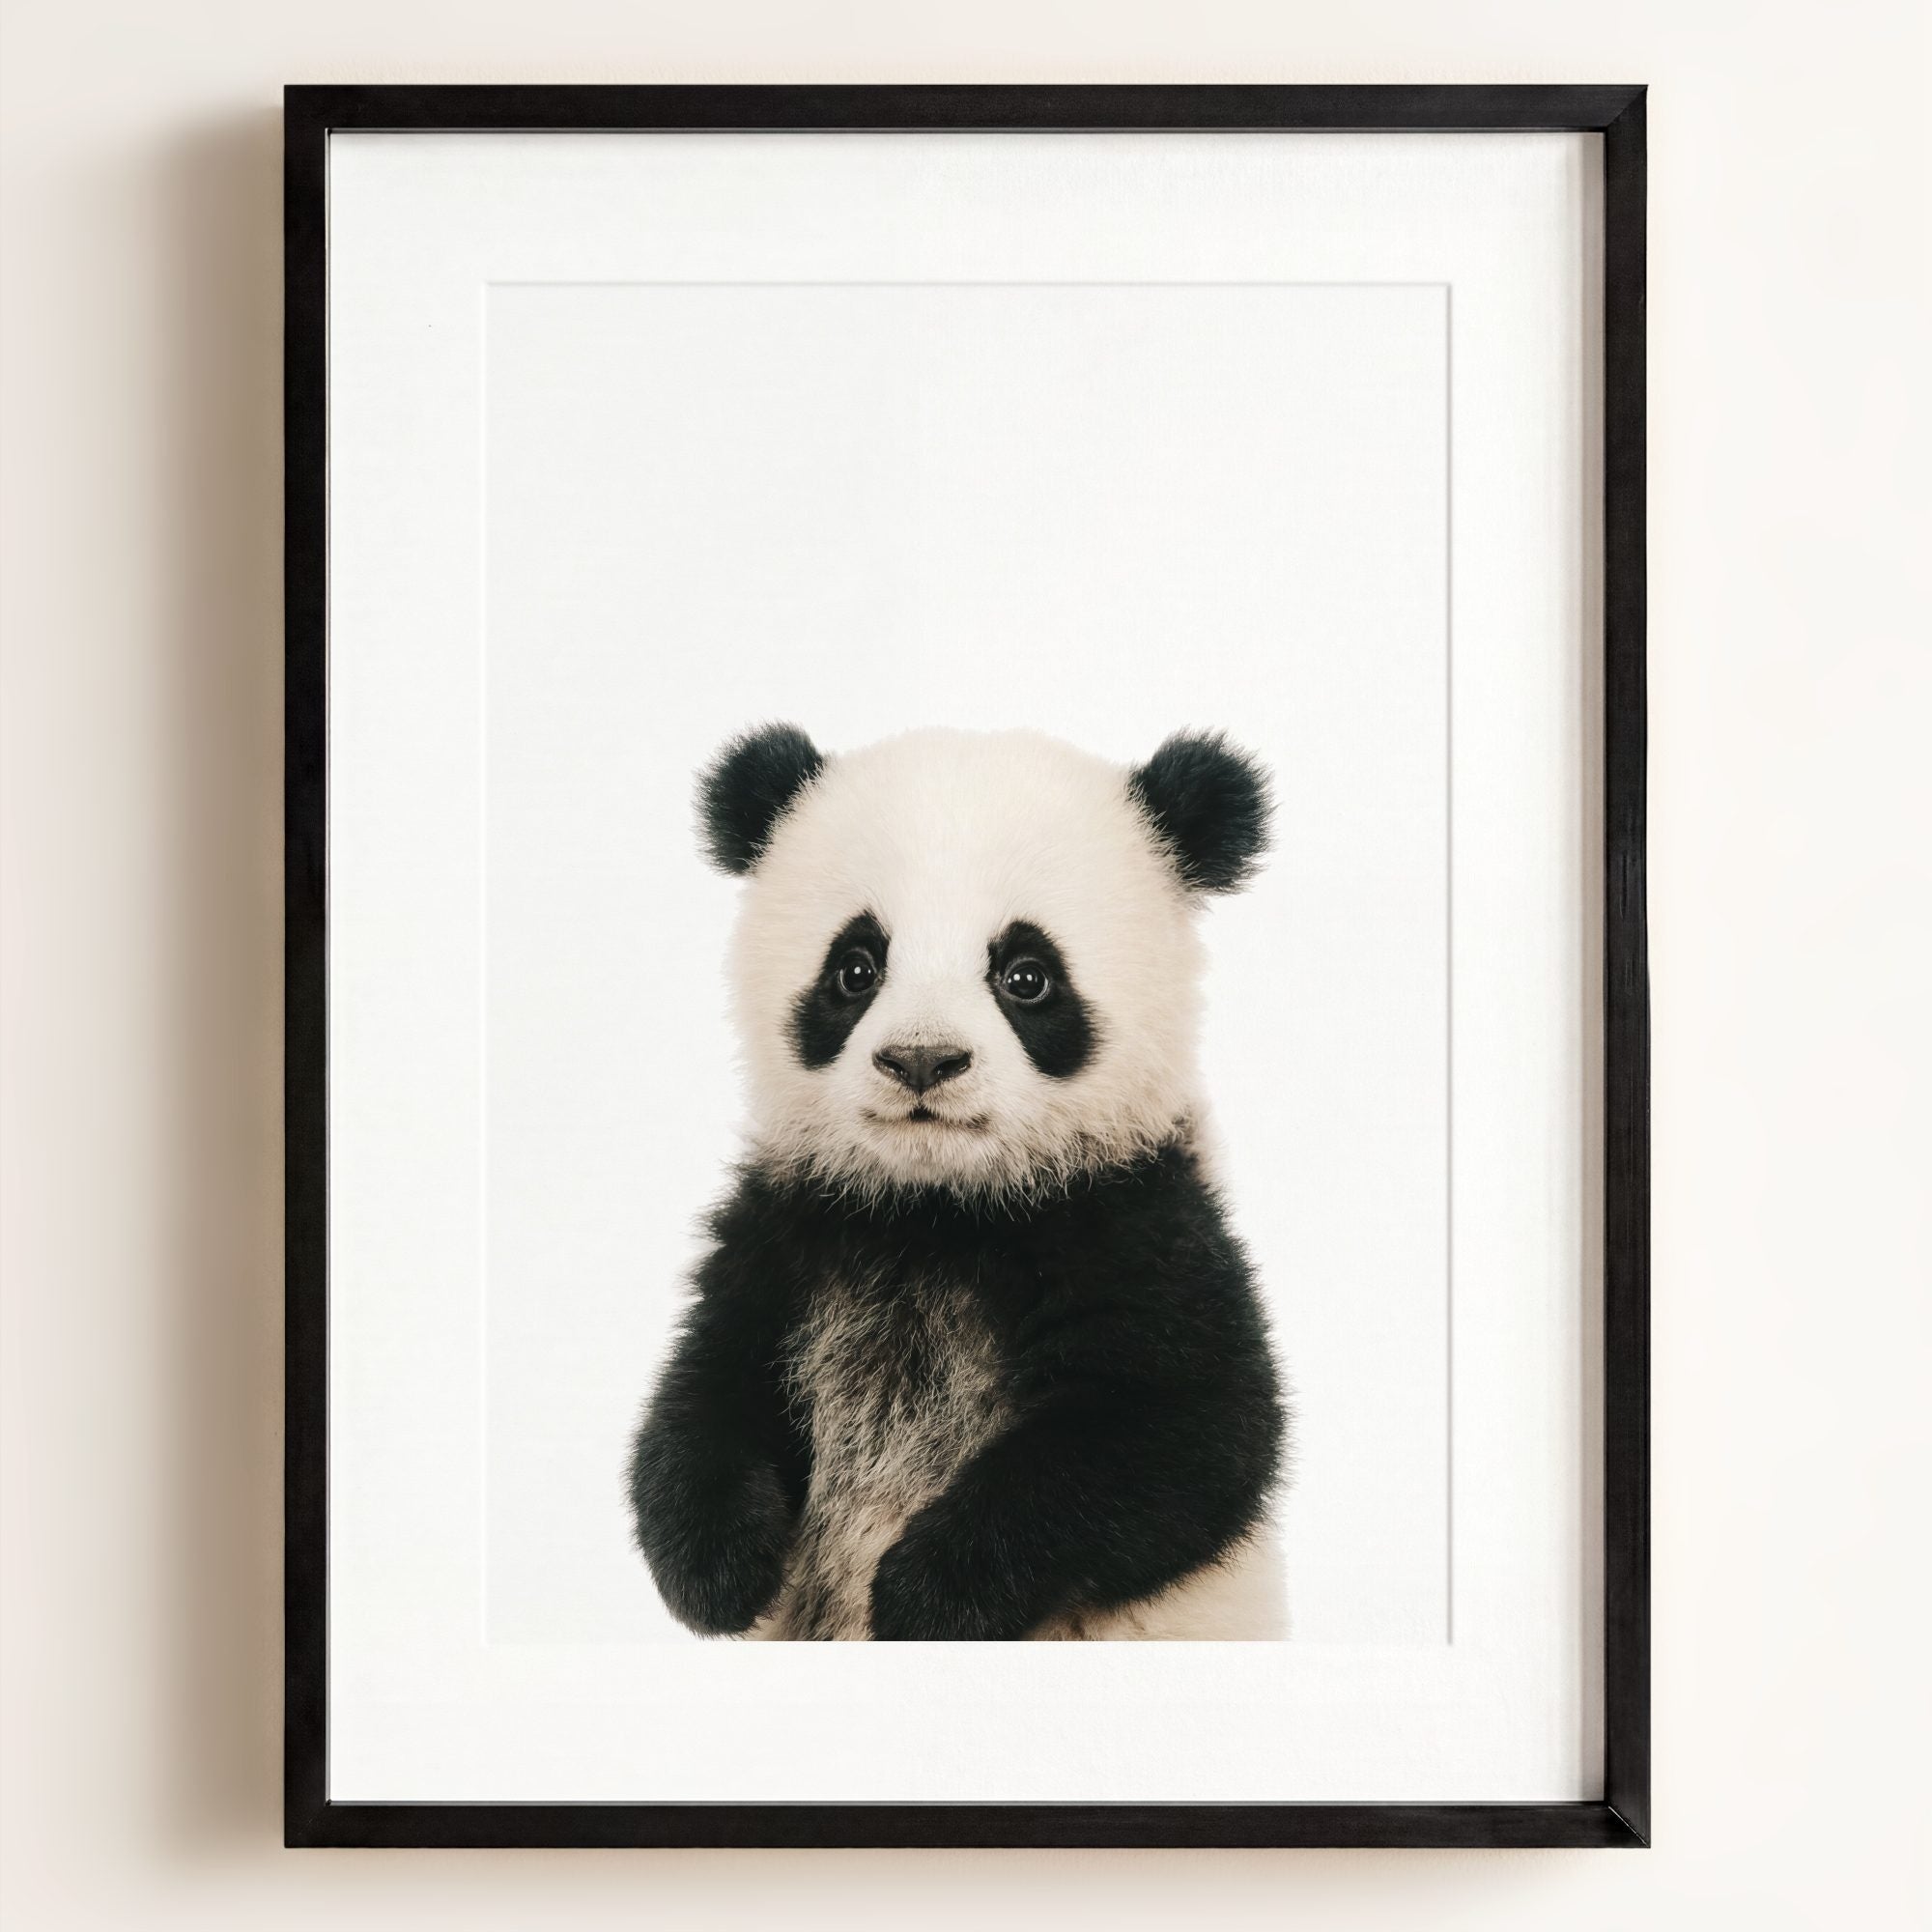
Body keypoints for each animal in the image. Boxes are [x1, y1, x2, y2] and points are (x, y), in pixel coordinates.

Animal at [627, 724, 1288, 1641]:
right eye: (856, 968)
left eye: (1026, 975)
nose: (922, 1060)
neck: (939, 1207)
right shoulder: (792, 1226)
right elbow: (710, 1387)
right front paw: (719, 1569)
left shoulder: (1137, 1220)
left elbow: (1183, 1433)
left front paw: (926, 1594)